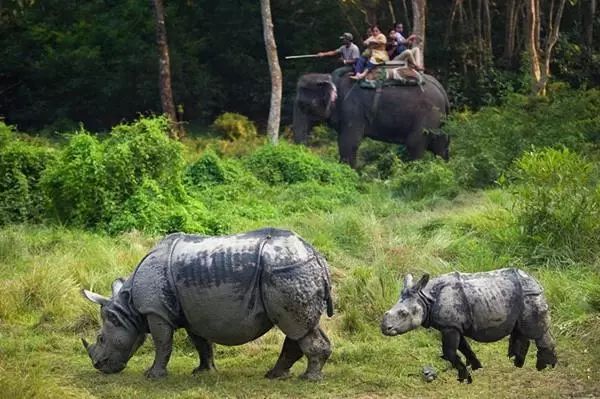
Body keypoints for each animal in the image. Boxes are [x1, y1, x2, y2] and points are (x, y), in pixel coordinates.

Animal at [81, 228, 332, 382]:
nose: (98, 366)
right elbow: (201, 343)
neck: (128, 308)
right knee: (301, 326)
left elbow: (162, 344)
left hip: (288, 271)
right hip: (294, 271)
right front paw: (203, 372)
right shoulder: (191, 313)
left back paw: (308, 379)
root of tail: (316, 254)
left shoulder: (156, 312)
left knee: (296, 326)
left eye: (101, 338)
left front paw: (152, 375)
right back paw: (275, 375)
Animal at [292, 69, 448, 168]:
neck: (331, 78)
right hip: (436, 118)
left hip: (427, 113)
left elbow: (348, 142)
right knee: (440, 141)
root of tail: (442, 90)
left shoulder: (353, 110)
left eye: (304, 104)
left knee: (415, 143)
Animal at [382, 268, 556, 384]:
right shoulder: (455, 325)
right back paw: (517, 364)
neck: (425, 297)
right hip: (522, 297)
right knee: (520, 330)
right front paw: (476, 367)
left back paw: (546, 368)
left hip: (531, 296)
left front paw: (464, 378)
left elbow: (450, 352)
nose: (384, 328)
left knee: (538, 333)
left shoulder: (450, 326)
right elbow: (464, 347)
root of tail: (535, 280)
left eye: (403, 313)